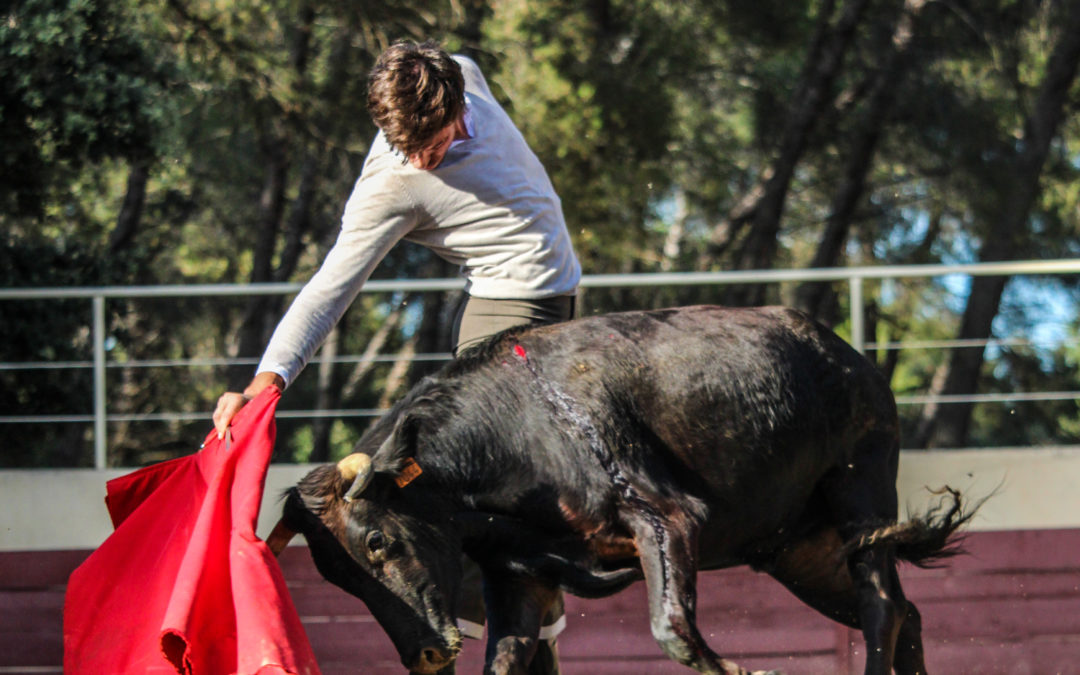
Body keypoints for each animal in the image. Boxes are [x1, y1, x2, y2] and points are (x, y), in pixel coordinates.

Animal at [272, 306, 972, 673]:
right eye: (335, 576)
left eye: (378, 541)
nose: (421, 655)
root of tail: (848, 354)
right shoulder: (519, 575)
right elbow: (507, 656)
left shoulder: (666, 518)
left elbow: (672, 628)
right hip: (797, 552)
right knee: (906, 612)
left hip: (862, 495)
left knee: (882, 606)